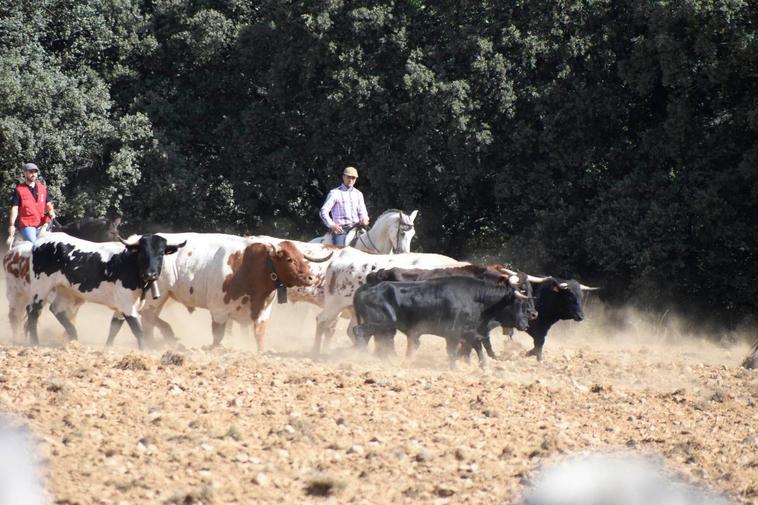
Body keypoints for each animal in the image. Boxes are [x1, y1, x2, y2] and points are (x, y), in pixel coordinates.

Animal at [27, 233, 188, 348]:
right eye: (142, 253)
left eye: (161, 253)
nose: (151, 274)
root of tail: (41, 241)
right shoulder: (127, 305)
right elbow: (137, 330)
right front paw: (145, 350)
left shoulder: (123, 307)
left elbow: (114, 327)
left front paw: (108, 347)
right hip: (40, 288)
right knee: (33, 312)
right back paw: (34, 343)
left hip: (65, 290)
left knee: (57, 310)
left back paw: (74, 338)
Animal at [354, 274, 532, 368]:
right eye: (518, 303)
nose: (526, 324)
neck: (476, 298)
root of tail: (366, 287)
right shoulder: (453, 332)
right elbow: (453, 351)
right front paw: (455, 368)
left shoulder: (468, 331)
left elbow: (477, 345)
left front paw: (483, 366)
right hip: (382, 322)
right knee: (359, 332)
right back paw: (362, 356)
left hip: (380, 325)